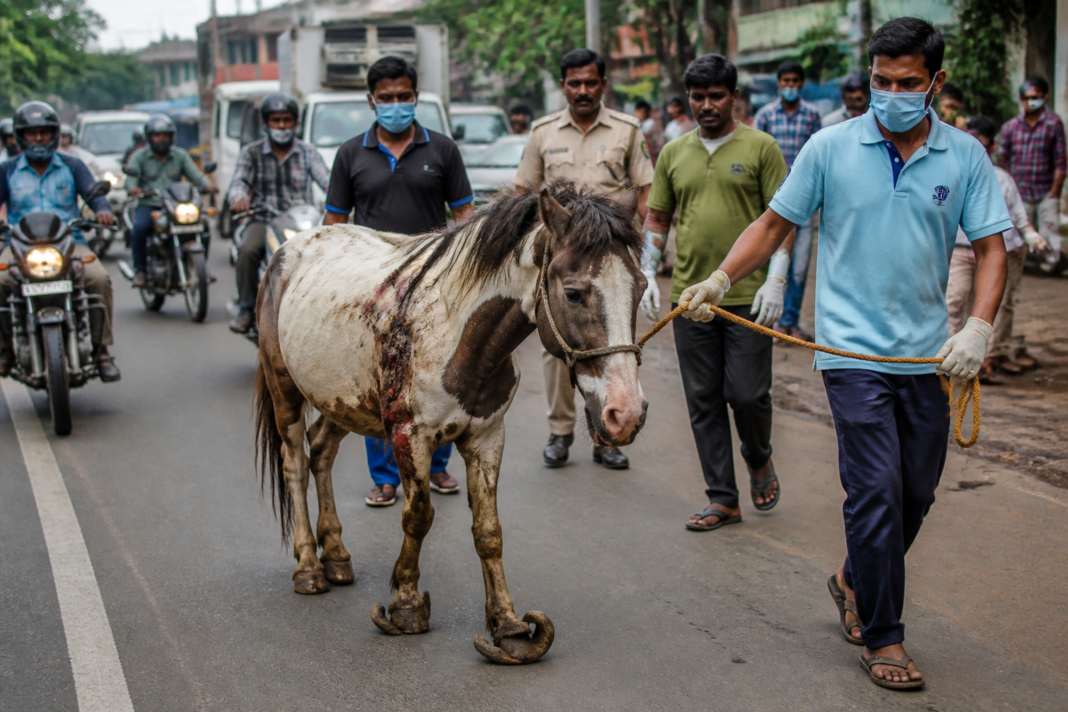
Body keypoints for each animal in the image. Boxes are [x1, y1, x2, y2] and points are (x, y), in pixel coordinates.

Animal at [254, 182, 648, 664]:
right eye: (573, 293)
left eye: (642, 286)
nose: (625, 413)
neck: (460, 336)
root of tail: (289, 250)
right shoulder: (408, 435)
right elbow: (418, 516)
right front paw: (406, 606)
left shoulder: (487, 437)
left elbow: (489, 532)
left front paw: (509, 626)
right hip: (285, 391)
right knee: (295, 464)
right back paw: (309, 566)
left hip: (340, 400)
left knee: (321, 453)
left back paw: (337, 556)